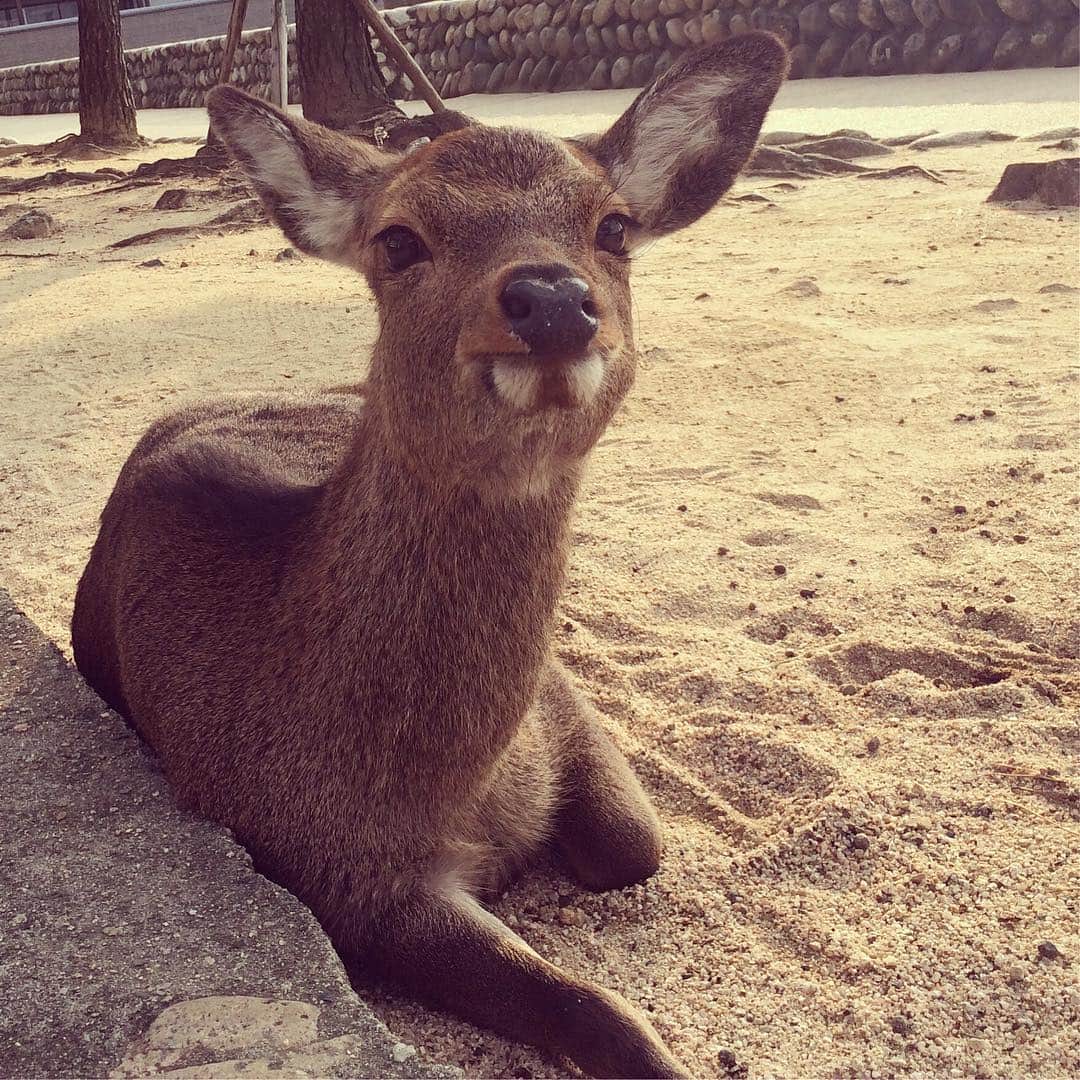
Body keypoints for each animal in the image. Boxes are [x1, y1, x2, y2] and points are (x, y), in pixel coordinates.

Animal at [72, 34, 786, 1079]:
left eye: (614, 226)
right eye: (398, 240)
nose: (550, 298)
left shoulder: (557, 701)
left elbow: (637, 842)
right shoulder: (342, 878)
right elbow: (592, 1007)